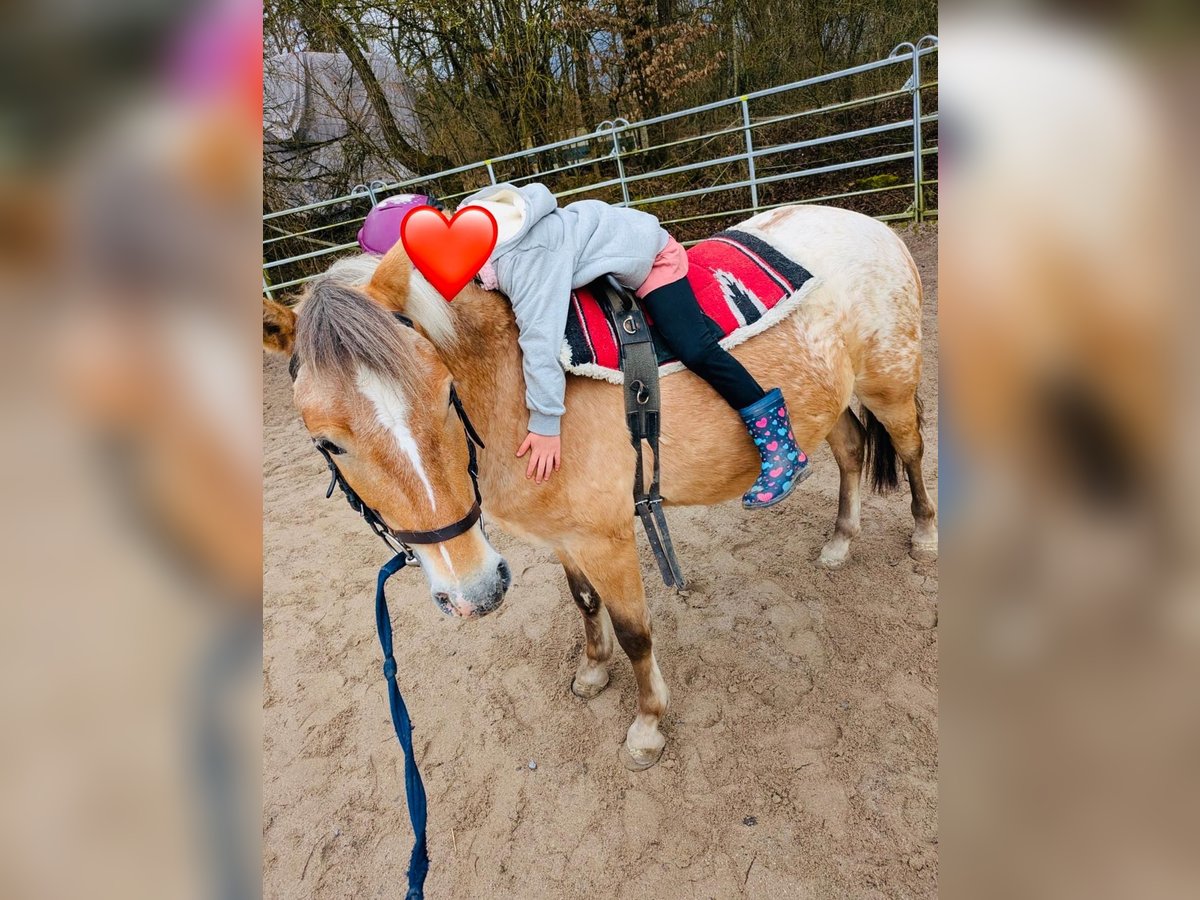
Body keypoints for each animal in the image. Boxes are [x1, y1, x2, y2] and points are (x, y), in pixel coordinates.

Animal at [263, 203, 936, 770]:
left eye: (444, 393)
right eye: (329, 443)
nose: (475, 592)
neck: (512, 387)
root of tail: (870, 225)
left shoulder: (608, 537)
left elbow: (636, 631)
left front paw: (648, 725)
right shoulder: (563, 537)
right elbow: (584, 603)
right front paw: (592, 671)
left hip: (889, 387)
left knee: (910, 452)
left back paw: (925, 537)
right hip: (831, 400)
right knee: (851, 452)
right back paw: (840, 541)